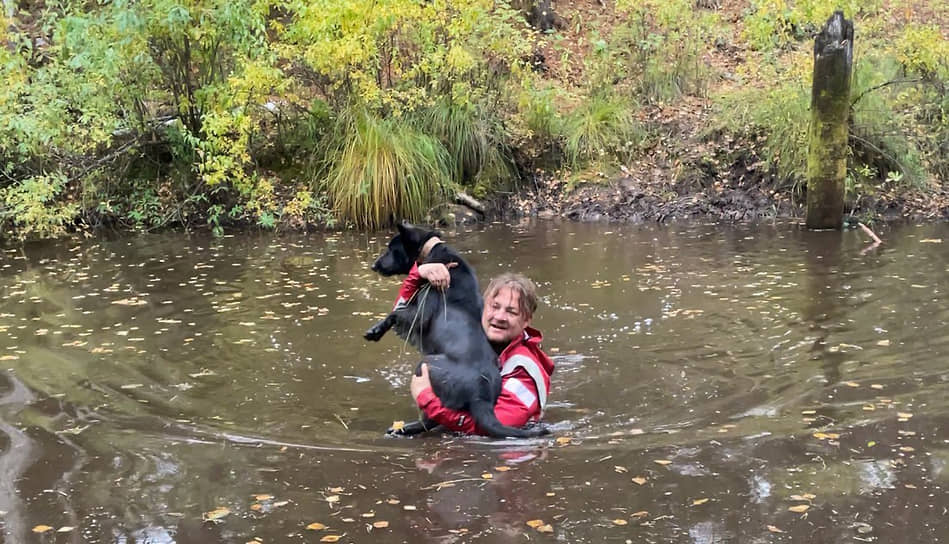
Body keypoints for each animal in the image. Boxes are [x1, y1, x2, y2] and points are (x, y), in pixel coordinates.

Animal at [368, 221, 552, 438]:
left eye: (390, 248)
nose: (374, 265)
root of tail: (479, 395)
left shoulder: (421, 314)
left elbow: (395, 314)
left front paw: (375, 330)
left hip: (426, 365)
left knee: (431, 416)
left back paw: (405, 428)